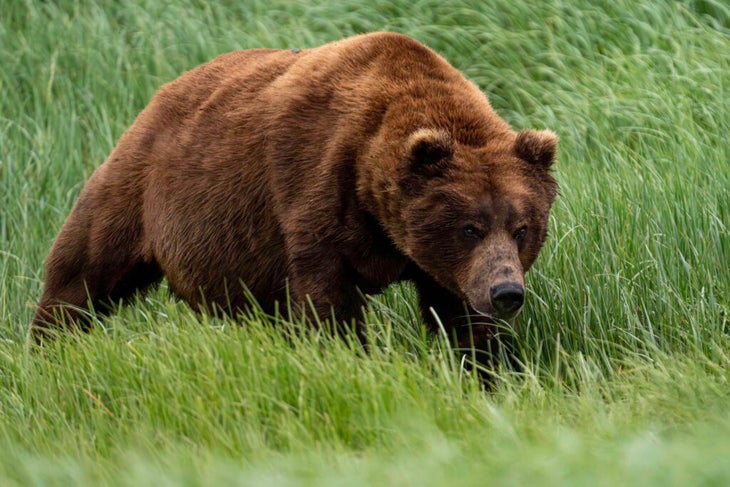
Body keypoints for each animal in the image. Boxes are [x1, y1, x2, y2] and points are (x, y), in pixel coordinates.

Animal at [28, 32, 556, 366]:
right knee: (82, 274)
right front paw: (351, 361)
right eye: (470, 227)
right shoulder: (315, 189)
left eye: (521, 229)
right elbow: (327, 299)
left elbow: (457, 315)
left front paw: (484, 370)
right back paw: (45, 348)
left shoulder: (435, 261)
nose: (507, 292)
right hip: (140, 190)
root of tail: (159, 95)